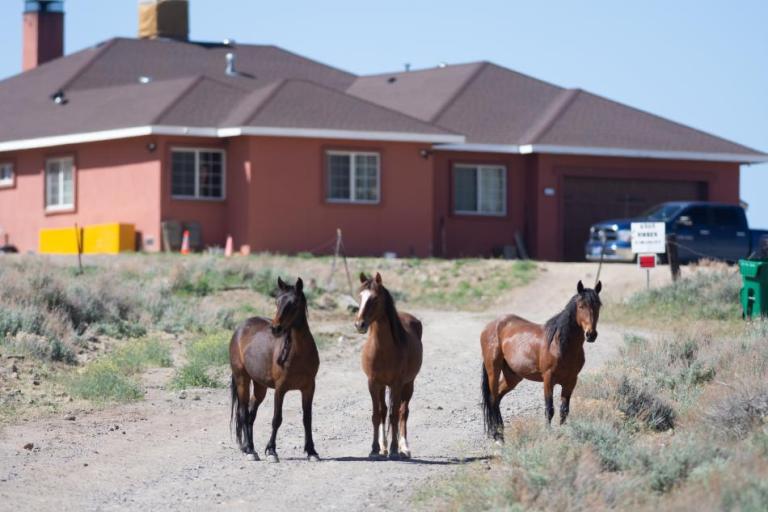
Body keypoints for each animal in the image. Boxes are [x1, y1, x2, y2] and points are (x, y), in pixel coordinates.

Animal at [229, 277, 320, 463]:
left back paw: (250, 447)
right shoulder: (280, 389)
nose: (275, 328)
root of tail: (240, 328)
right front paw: (271, 451)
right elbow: (277, 419)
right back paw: (250, 451)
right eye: (277, 301)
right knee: (243, 413)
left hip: (260, 386)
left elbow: (307, 418)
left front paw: (311, 451)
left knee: (251, 414)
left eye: (293, 303)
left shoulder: (309, 388)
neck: (298, 353)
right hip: (242, 379)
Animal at [355, 272, 423, 459]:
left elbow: (394, 415)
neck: (382, 349)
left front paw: (394, 449)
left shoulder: (397, 384)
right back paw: (384, 446)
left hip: (408, 384)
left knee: (402, 412)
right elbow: (377, 415)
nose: (359, 324)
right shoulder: (373, 383)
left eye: (375, 299)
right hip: (383, 386)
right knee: (384, 411)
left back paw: (403, 447)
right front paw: (375, 449)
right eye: (360, 297)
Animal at [480, 280, 602, 441]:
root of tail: (490, 326)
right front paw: (548, 434)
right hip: (493, 370)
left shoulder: (571, 381)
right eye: (581, 306)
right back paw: (497, 436)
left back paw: (501, 433)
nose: (591, 334)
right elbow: (549, 409)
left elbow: (564, 410)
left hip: (512, 376)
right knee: (492, 398)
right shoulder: (548, 379)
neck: (560, 344)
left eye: (598, 305)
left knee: (498, 397)